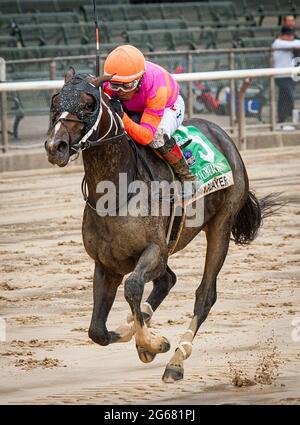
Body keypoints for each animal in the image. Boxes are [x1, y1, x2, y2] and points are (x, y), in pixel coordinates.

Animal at [44, 69, 278, 380]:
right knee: (167, 281)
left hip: (221, 224)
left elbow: (132, 286)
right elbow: (97, 331)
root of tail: (222, 134)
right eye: (55, 100)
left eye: (89, 103)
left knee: (205, 295)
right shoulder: (107, 264)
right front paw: (140, 336)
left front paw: (152, 343)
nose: (54, 146)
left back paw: (176, 361)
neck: (116, 191)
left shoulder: (155, 250)